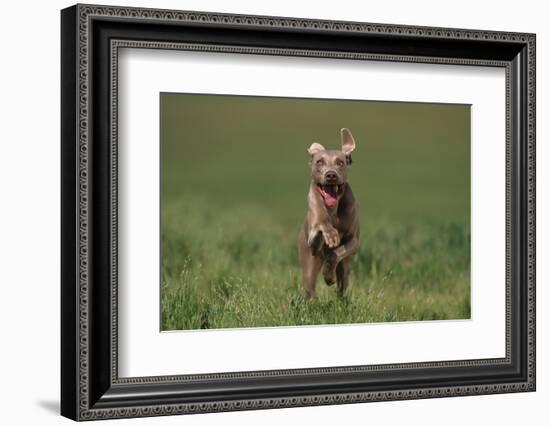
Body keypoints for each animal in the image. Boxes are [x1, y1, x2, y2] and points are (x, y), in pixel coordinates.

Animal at [298, 128, 362, 298]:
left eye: (340, 162)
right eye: (319, 162)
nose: (331, 175)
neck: (332, 209)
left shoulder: (353, 241)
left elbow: (335, 253)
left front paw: (328, 275)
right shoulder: (312, 241)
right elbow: (319, 230)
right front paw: (327, 232)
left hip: (345, 267)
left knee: (342, 284)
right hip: (308, 262)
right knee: (309, 286)